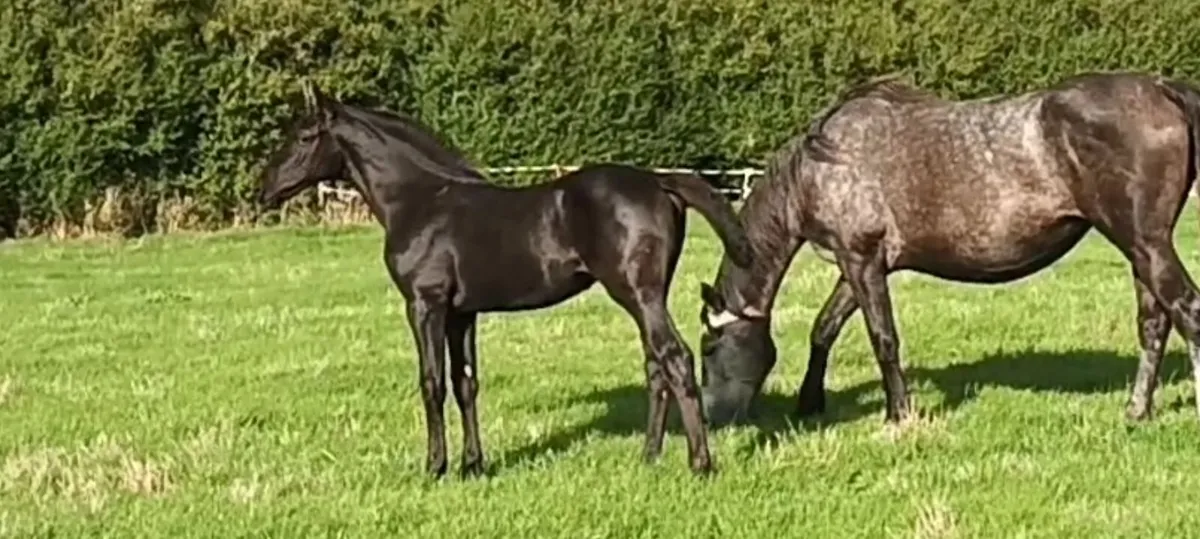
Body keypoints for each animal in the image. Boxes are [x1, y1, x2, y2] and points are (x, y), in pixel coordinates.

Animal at [257, 82, 753, 477]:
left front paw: (434, 467)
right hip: (647, 297)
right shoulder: (462, 314)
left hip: (637, 294)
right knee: (656, 366)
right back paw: (648, 457)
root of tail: (658, 181)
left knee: (675, 359)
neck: (419, 200)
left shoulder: (424, 305)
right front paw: (473, 465)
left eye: (304, 136)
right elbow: (466, 383)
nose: (264, 189)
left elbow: (432, 383)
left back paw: (700, 464)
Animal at [695, 71, 1200, 428]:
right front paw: (810, 402)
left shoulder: (860, 259)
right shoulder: (858, 262)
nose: (713, 418)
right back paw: (1136, 411)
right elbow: (825, 328)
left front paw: (899, 414)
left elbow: (883, 337)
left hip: (1145, 244)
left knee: (1187, 312)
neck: (821, 163)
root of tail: (1162, 88)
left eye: (708, 347)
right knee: (1154, 324)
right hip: (1140, 250)